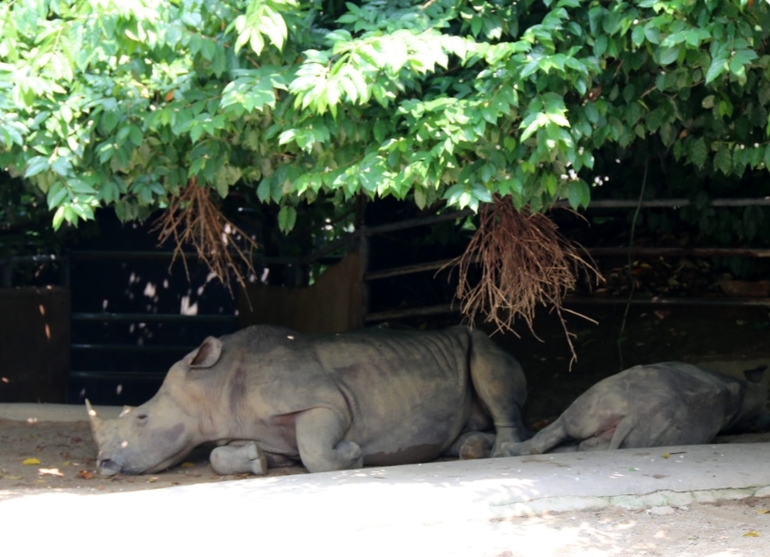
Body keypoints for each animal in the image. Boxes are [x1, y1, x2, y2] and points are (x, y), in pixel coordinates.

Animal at [86, 324, 527, 476]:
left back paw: (505, 452)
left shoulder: (324, 402)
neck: (212, 383)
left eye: (141, 418)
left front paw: (352, 455)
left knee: (489, 365)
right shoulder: (243, 426)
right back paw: (471, 448)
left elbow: (316, 451)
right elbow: (217, 455)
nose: (103, 464)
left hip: (483, 344)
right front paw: (258, 462)